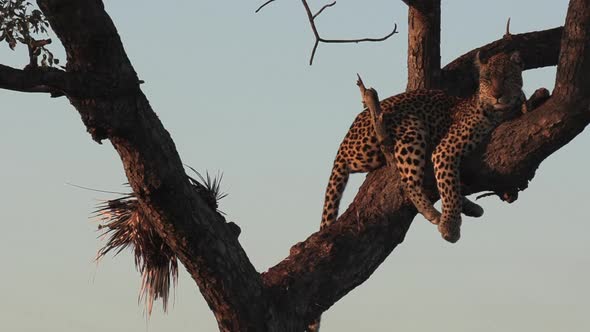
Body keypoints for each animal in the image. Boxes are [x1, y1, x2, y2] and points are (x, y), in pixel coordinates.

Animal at [322, 50, 524, 241]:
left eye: (507, 77)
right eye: (487, 79)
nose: (497, 95)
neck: (500, 113)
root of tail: (344, 141)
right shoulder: (445, 149)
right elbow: (449, 188)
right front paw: (450, 226)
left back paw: (470, 207)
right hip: (411, 127)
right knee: (409, 182)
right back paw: (434, 214)